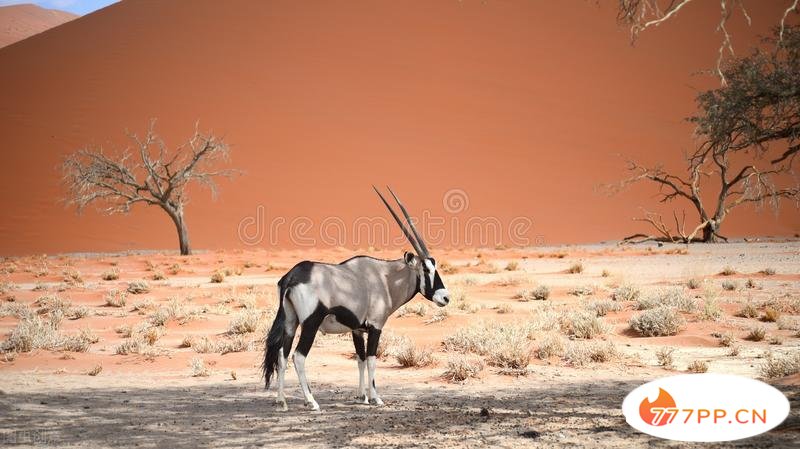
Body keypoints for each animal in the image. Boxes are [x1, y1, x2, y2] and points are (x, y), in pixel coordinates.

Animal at [264, 185, 446, 410]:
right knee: (298, 356)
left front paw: (362, 396)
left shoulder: (357, 329)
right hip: (310, 324)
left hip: (291, 321)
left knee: (282, 355)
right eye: (426, 269)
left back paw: (281, 400)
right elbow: (372, 359)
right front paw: (376, 398)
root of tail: (291, 276)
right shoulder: (375, 326)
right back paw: (311, 401)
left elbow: (360, 359)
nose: (445, 297)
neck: (384, 278)